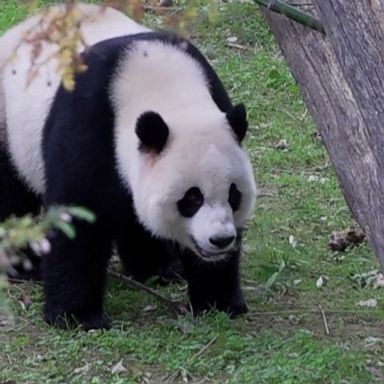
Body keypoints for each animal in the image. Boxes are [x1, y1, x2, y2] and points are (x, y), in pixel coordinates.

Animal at [2, 3, 258, 330]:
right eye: (192, 198)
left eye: (233, 195)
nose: (220, 240)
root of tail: (19, 29)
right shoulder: (88, 120)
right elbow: (78, 216)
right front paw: (78, 316)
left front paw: (219, 301)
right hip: (9, 124)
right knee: (12, 198)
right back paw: (25, 264)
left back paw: (160, 267)